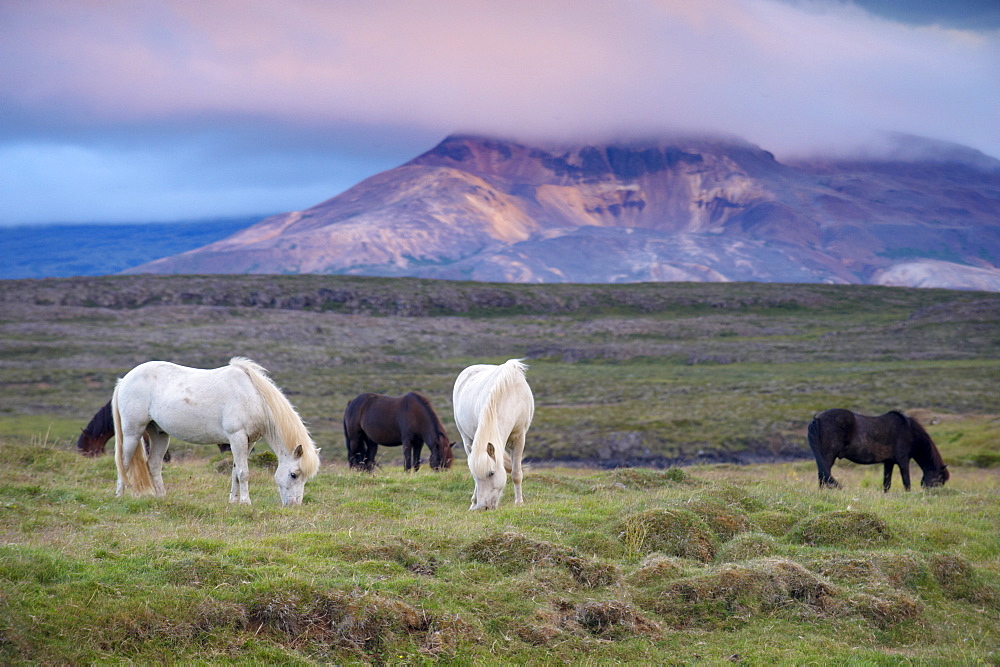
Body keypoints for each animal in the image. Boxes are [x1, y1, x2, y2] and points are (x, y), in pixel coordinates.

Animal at [112, 360, 320, 506]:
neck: (253, 396)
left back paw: (162, 497)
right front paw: (246, 502)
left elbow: (235, 471)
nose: (294, 505)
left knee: (153, 464)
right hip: (133, 432)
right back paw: (119, 496)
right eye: (294, 475)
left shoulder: (248, 441)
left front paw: (233, 501)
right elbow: (244, 472)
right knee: (124, 462)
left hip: (159, 434)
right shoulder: (237, 437)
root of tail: (124, 380)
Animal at [452, 360, 532, 512]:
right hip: (466, 438)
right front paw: (473, 503)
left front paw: (519, 502)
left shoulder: (519, 438)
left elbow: (516, 473)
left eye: (491, 473)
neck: (511, 393)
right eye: (475, 476)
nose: (482, 507)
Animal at [804, 410, 952, 494]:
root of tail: (817, 419)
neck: (910, 432)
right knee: (824, 474)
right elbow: (907, 482)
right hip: (829, 456)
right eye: (940, 480)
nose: (929, 494)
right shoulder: (903, 461)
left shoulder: (889, 462)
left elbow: (887, 483)